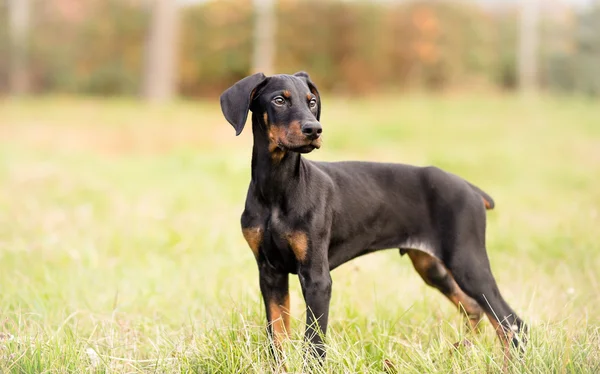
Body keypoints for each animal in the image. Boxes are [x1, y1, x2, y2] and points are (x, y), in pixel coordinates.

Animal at [219, 71, 524, 366]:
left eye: (312, 102)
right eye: (279, 100)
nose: (314, 129)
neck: (278, 188)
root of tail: (472, 189)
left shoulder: (317, 278)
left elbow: (314, 345)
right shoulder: (270, 273)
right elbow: (277, 338)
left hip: (467, 262)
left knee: (511, 322)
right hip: (432, 266)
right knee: (475, 310)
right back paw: (458, 354)